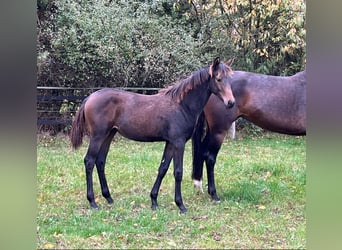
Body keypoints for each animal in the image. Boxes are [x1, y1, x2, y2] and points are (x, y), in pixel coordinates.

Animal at [69, 58, 235, 213]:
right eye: (218, 79)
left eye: (230, 79)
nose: (231, 102)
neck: (181, 105)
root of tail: (90, 98)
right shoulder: (179, 142)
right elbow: (178, 172)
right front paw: (180, 205)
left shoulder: (170, 143)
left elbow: (163, 168)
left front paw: (154, 201)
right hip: (97, 136)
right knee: (89, 161)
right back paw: (92, 202)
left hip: (108, 135)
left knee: (100, 161)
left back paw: (108, 198)